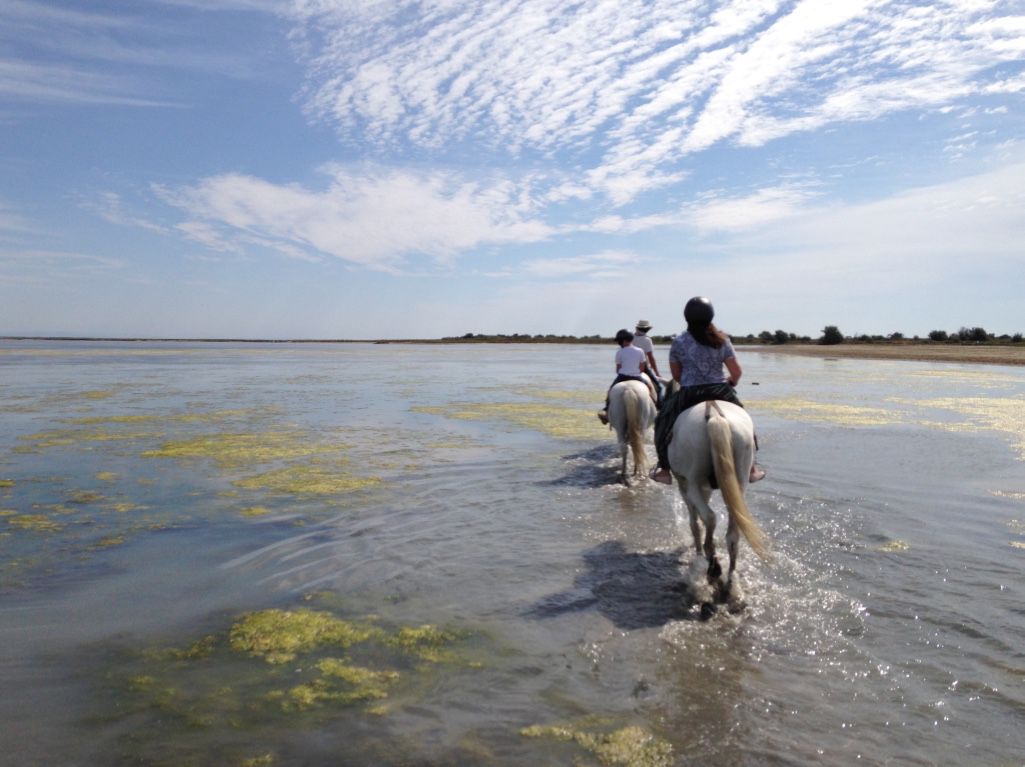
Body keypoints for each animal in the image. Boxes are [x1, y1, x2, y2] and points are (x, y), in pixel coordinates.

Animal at [668, 397, 766, 615]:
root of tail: (713, 414)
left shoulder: (684, 485)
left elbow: (695, 523)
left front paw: (697, 551)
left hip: (693, 481)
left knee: (709, 518)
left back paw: (712, 565)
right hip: (739, 481)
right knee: (733, 535)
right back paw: (729, 585)